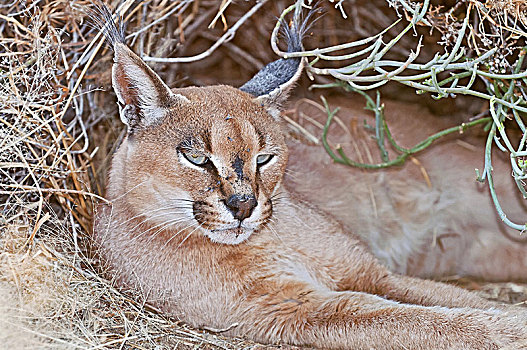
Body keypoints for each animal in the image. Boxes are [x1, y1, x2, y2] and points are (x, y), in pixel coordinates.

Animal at [94, 2, 527, 348]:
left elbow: (454, 303)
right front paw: (510, 330)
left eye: (264, 158)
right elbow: (412, 320)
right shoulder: (294, 308)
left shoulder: (369, 271)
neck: (261, 245)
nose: (243, 205)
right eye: (197, 158)